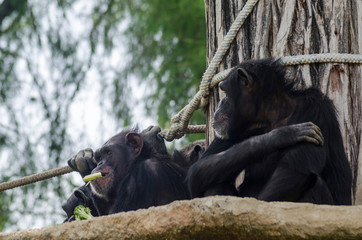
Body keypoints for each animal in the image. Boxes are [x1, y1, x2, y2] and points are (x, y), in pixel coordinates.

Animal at [188, 57, 352, 204]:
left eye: (226, 93)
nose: (221, 102)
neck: (273, 112)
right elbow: (199, 168)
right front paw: (283, 135)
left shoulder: (314, 107)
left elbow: (297, 168)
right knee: (213, 182)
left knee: (312, 179)